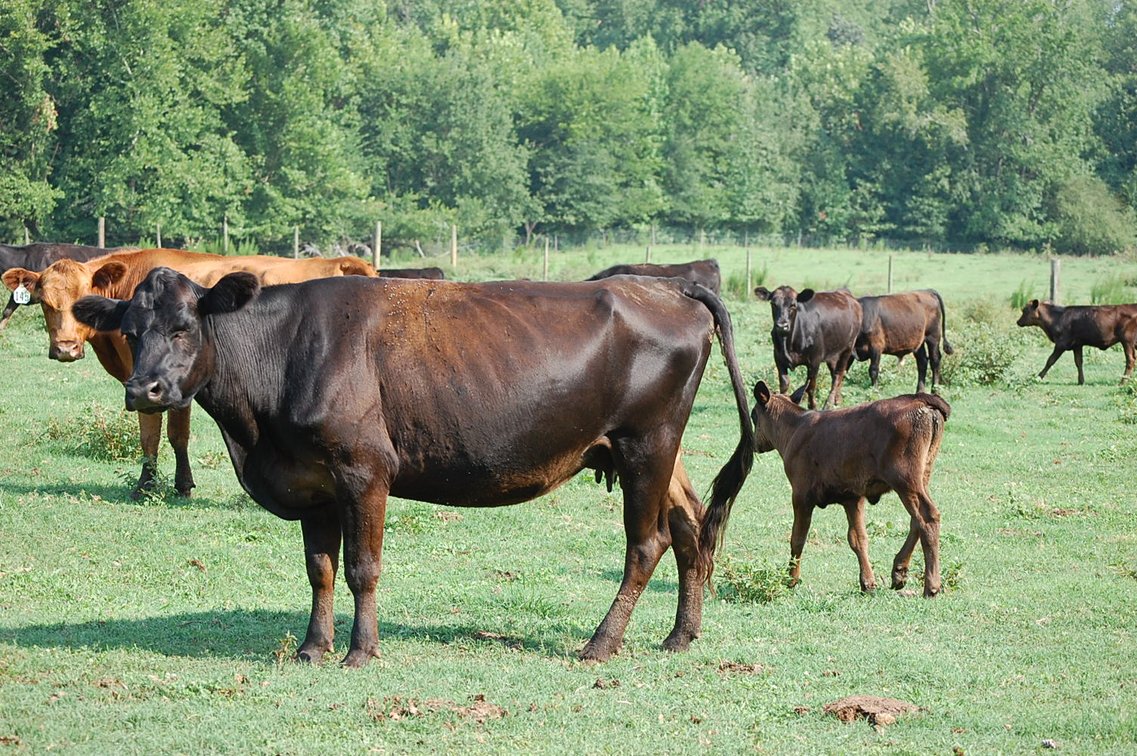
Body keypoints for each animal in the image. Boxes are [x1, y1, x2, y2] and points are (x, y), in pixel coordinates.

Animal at [1, 248, 377, 498]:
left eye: (81, 300)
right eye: (46, 302)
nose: (65, 348)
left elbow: (171, 435)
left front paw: (173, 485)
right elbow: (151, 435)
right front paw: (150, 483)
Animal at [73, 269, 756, 667]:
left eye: (184, 327)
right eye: (130, 330)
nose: (144, 390)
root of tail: (664, 287)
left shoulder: (364, 469)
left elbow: (361, 568)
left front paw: (360, 652)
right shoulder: (312, 483)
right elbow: (319, 569)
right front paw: (312, 647)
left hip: (646, 442)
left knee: (648, 543)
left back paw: (601, 644)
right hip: (657, 451)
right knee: (692, 526)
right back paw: (680, 636)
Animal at [750, 381, 949, 597]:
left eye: (753, 415)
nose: (754, 443)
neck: (795, 428)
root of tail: (918, 399)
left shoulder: (801, 495)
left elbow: (797, 538)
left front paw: (791, 579)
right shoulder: (852, 498)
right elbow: (858, 538)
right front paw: (868, 583)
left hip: (905, 480)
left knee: (927, 517)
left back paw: (931, 585)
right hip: (921, 477)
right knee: (916, 520)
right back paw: (899, 571)